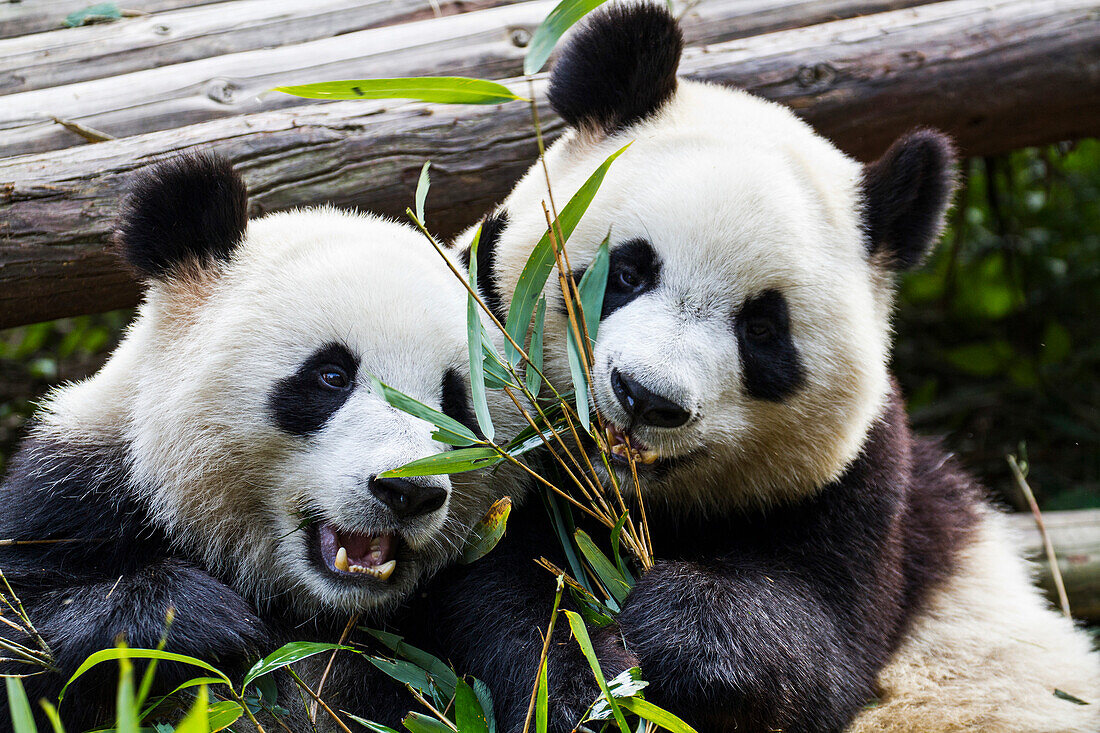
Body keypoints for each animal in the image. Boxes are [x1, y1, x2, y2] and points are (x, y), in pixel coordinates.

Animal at [0, 152, 499, 726]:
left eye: (456, 404)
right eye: (331, 376)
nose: (409, 491)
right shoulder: (75, 497)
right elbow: (23, 633)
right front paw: (196, 617)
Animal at [420, 2, 1100, 726]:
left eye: (763, 330)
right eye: (626, 272)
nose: (646, 398)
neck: (631, 500)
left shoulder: (859, 496)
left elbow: (816, 640)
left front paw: (676, 628)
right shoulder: (488, 454)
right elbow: (502, 592)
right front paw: (586, 681)